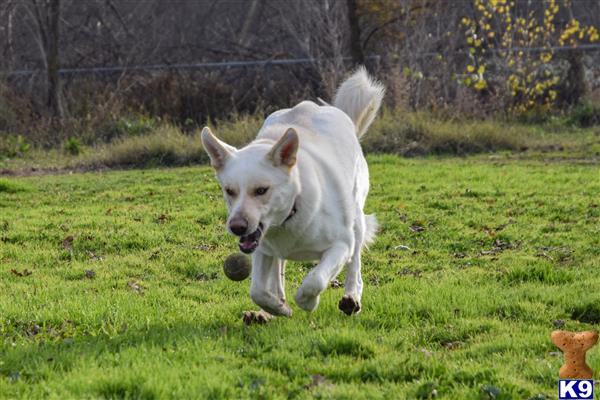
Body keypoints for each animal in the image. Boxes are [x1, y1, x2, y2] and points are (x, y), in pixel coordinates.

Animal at [202, 65, 384, 322]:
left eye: (261, 190)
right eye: (229, 191)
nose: (237, 227)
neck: (291, 213)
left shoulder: (341, 244)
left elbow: (315, 279)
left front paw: (308, 302)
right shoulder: (262, 247)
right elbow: (258, 290)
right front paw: (279, 308)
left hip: (356, 220)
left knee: (355, 265)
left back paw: (352, 298)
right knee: (278, 269)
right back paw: (268, 310)